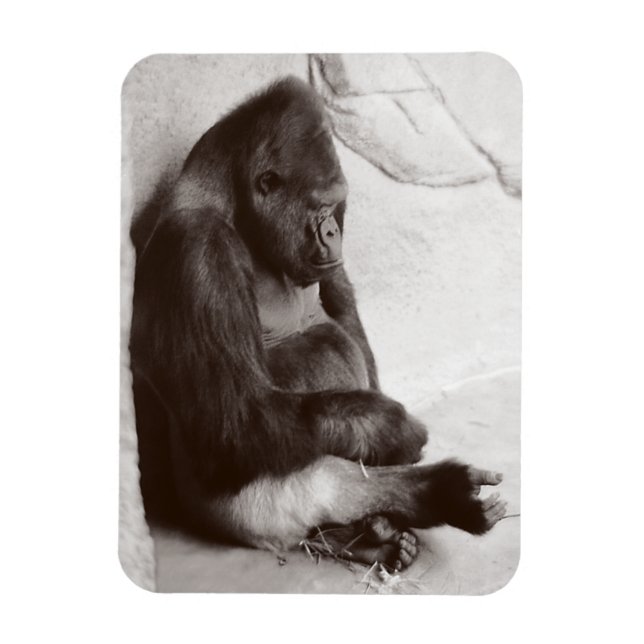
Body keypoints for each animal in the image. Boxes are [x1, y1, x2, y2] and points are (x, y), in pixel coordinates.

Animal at [129, 76, 507, 572]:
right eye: (318, 206)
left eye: (337, 204)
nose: (333, 232)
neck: (232, 202)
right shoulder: (196, 251)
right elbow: (238, 417)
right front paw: (393, 426)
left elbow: (342, 313)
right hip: (237, 515)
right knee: (315, 480)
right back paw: (428, 499)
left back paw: (376, 531)